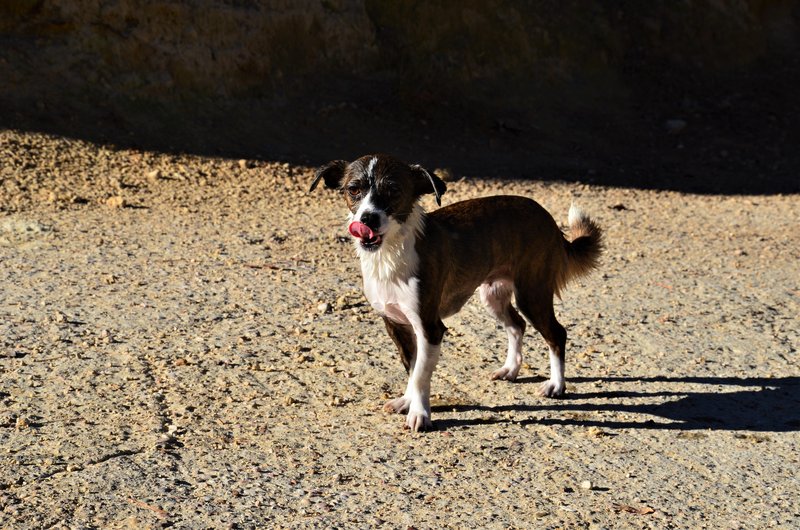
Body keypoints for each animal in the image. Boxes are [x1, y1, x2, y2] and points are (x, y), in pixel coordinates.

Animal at [310, 153, 604, 428]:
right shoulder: (396, 325)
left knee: (556, 334)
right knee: (516, 326)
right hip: (493, 295)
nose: (367, 218)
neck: (391, 254)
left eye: (393, 190)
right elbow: (412, 369)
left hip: (532, 294)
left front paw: (420, 414)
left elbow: (420, 375)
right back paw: (510, 369)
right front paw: (407, 401)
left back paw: (556, 385)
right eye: (353, 190)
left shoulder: (430, 328)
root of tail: (549, 220)